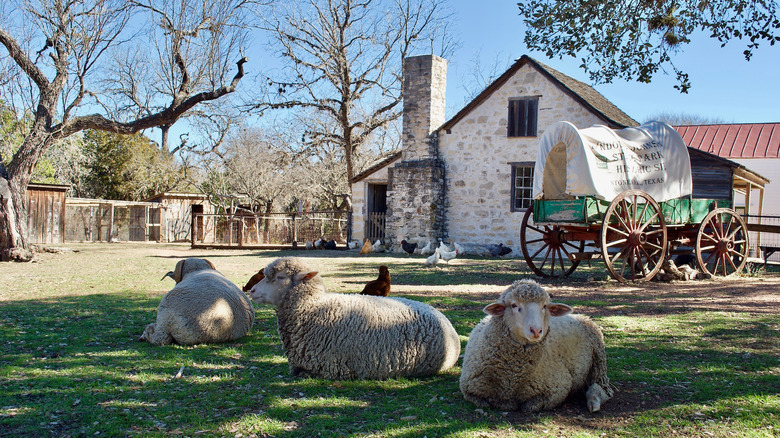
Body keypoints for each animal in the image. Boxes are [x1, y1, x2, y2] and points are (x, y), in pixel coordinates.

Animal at [460, 278, 612, 412]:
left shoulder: (557, 389)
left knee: (602, 388)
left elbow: (528, 407)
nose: (536, 330)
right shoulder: (470, 389)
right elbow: (483, 402)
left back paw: (594, 402)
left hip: (599, 360)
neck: (511, 377)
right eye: (514, 305)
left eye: (544, 306)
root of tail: (580, 316)